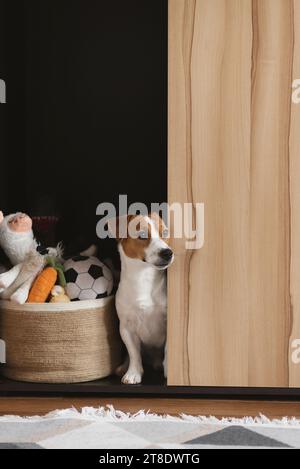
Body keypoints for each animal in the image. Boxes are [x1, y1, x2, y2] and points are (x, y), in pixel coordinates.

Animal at [109, 212, 173, 384]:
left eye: (165, 233)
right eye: (142, 235)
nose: (168, 253)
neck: (143, 278)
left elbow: (167, 348)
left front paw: (168, 369)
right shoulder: (126, 328)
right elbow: (133, 353)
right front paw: (133, 372)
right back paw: (123, 367)